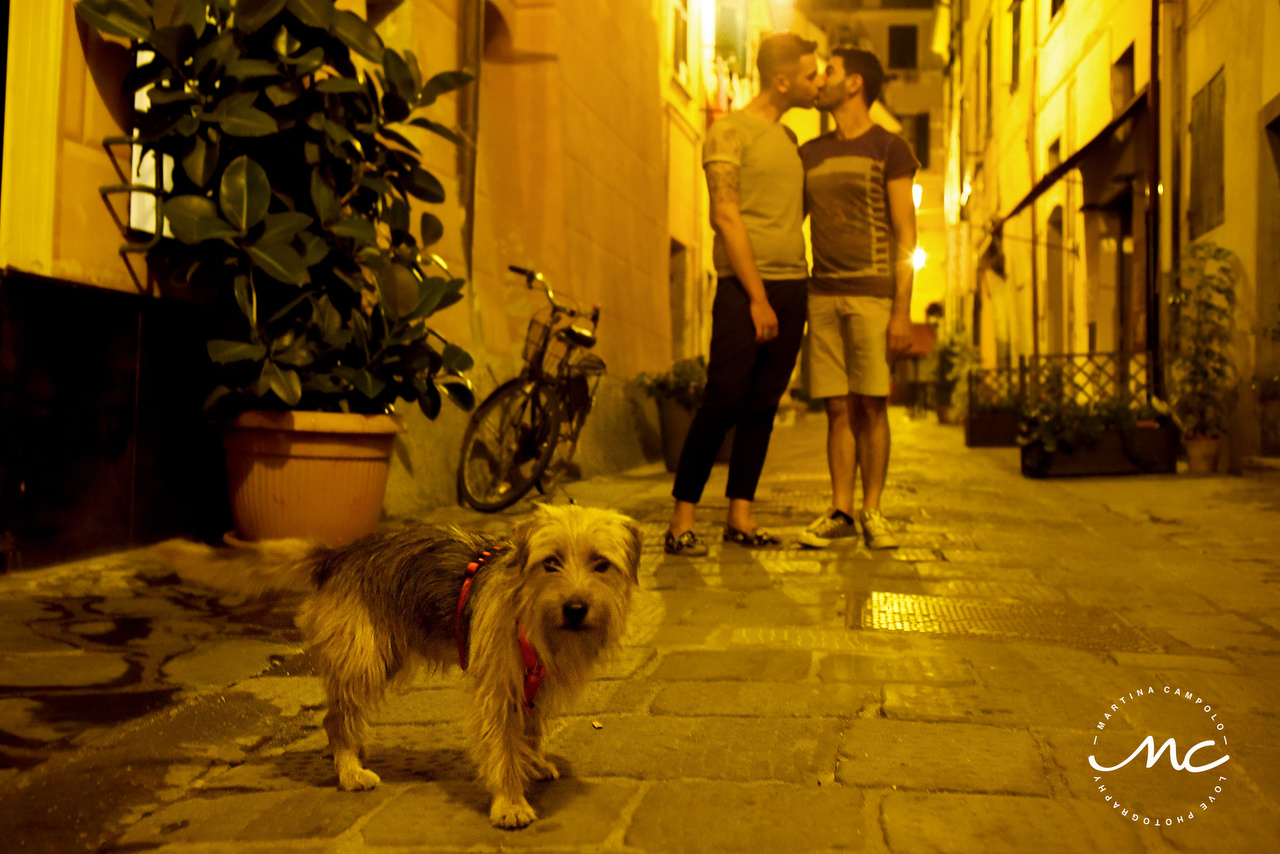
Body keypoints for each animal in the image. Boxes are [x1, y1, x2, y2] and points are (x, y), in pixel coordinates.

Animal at [156, 504, 645, 824]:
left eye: (601, 564)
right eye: (551, 563)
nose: (576, 608)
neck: (531, 611)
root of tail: (336, 555)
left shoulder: (532, 686)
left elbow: (529, 730)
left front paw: (533, 761)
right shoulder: (496, 689)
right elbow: (502, 746)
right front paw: (510, 801)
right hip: (367, 659)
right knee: (335, 718)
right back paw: (349, 770)